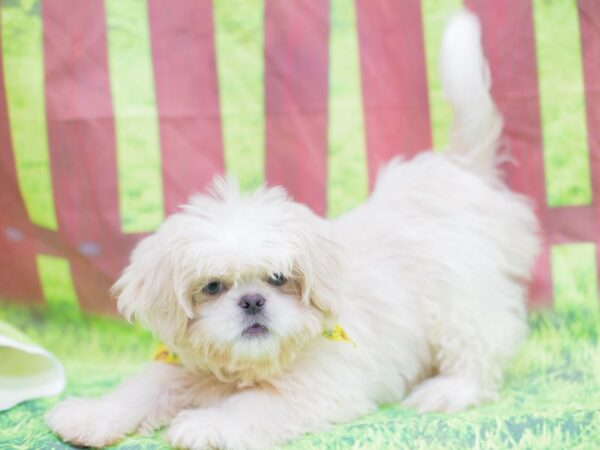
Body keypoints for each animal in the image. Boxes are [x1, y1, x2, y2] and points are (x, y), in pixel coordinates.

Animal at [45, 9, 540, 446]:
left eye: (279, 278)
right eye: (212, 287)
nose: (252, 301)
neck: (248, 366)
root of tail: (456, 169)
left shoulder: (317, 386)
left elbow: (254, 405)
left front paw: (206, 425)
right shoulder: (178, 366)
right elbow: (141, 388)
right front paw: (91, 415)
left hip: (460, 299)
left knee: (480, 346)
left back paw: (447, 390)